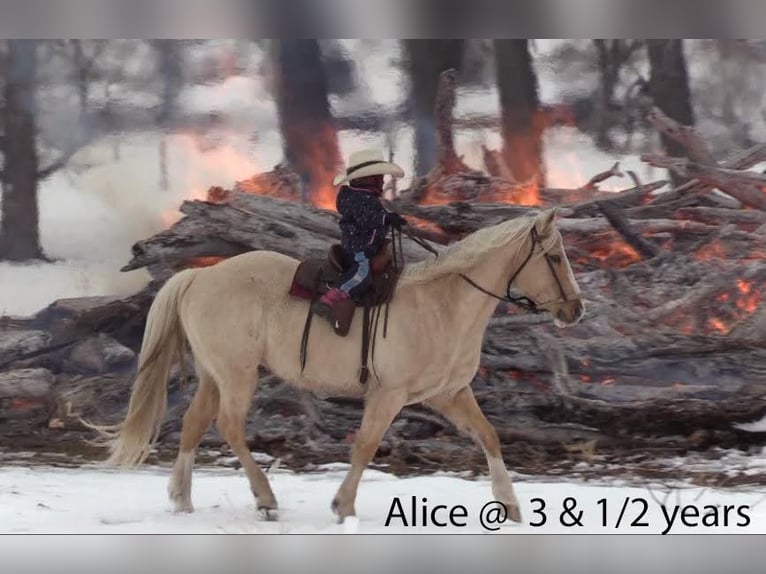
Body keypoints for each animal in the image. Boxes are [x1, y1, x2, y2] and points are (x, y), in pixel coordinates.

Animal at [94, 210, 588, 528]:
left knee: (194, 424)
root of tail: (199, 276)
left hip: (215, 374)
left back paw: (181, 498)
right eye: (555, 257)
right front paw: (343, 506)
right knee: (228, 426)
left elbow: (489, 436)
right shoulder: (388, 395)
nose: (576, 309)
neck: (444, 304)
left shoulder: (448, 394)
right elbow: (365, 447)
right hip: (237, 374)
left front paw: (510, 506)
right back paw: (265, 499)